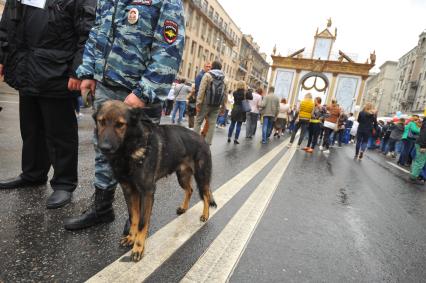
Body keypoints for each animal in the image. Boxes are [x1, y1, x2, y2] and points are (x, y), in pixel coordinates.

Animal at [95, 101, 218, 262]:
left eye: (120, 124)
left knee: (205, 195)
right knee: (190, 190)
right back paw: (184, 208)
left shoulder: (147, 192)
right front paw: (131, 238)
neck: (130, 150)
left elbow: (142, 222)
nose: (104, 148)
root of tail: (202, 138)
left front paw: (138, 248)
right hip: (182, 177)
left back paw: (205, 215)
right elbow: (133, 217)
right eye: (101, 122)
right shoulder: (129, 191)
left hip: (201, 177)